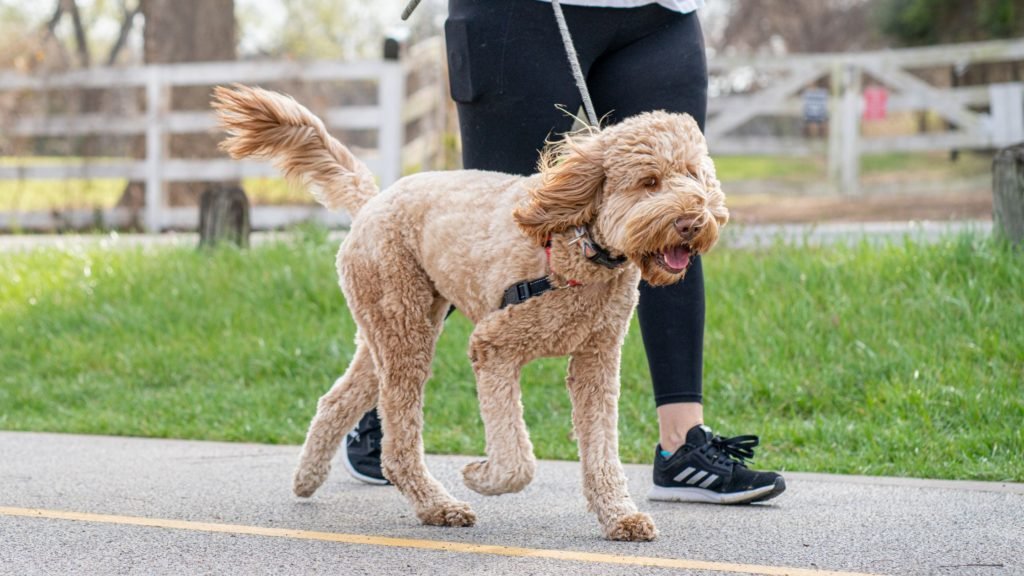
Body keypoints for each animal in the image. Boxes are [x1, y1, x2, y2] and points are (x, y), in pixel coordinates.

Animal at [214, 84, 729, 537]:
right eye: (649, 182)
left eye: (694, 175)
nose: (693, 221)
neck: (579, 246)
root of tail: (374, 200)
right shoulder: (493, 346)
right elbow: (517, 460)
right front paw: (481, 476)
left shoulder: (595, 362)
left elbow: (601, 451)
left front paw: (620, 516)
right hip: (404, 328)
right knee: (398, 443)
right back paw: (437, 506)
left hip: (393, 327)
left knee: (337, 400)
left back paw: (307, 478)